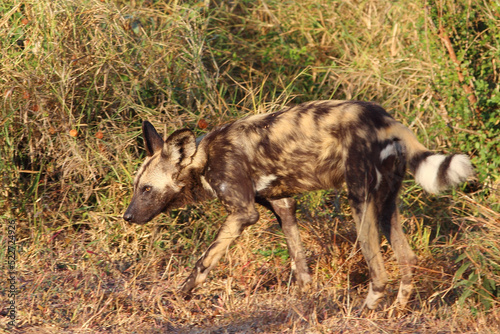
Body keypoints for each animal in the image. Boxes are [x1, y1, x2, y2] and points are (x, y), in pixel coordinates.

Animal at [123, 100, 474, 310]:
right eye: (136, 187)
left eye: (146, 189)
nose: (127, 217)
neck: (204, 159)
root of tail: (385, 119)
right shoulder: (282, 205)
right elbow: (300, 262)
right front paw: (304, 300)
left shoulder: (242, 213)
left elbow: (203, 262)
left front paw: (178, 295)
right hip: (386, 204)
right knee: (407, 258)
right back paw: (397, 311)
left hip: (360, 201)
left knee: (379, 270)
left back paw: (364, 311)